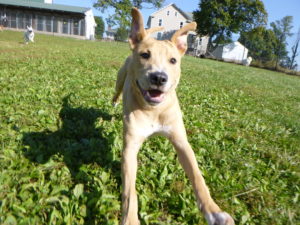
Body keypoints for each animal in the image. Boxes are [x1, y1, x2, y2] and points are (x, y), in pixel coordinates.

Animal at [112, 7, 234, 225]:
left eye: (173, 60)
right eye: (145, 55)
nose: (159, 78)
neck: (154, 110)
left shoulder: (181, 141)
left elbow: (197, 176)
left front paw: (214, 212)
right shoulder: (129, 150)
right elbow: (129, 192)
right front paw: (130, 218)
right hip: (119, 79)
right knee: (115, 93)